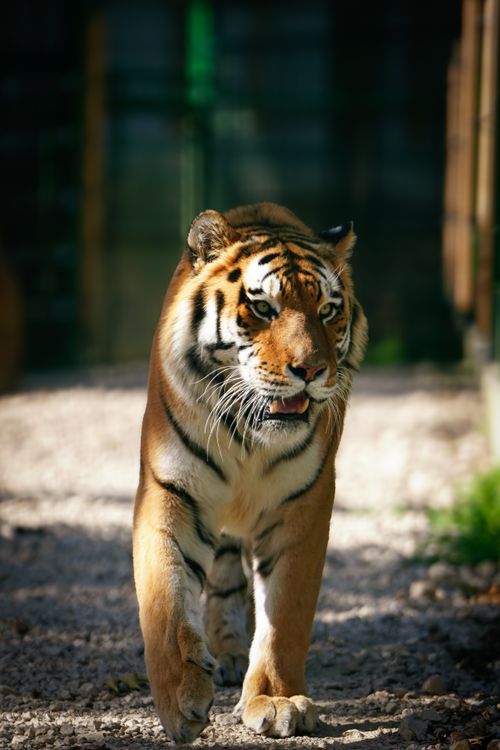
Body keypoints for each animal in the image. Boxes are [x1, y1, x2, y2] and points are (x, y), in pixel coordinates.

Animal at [133, 202, 367, 743]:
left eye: (328, 310)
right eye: (263, 308)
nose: (312, 370)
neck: (248, 434)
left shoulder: (304, 504)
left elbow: (285, 615)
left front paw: (278, 701)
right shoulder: (169, 490)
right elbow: (163, 600)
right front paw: (180, 701)